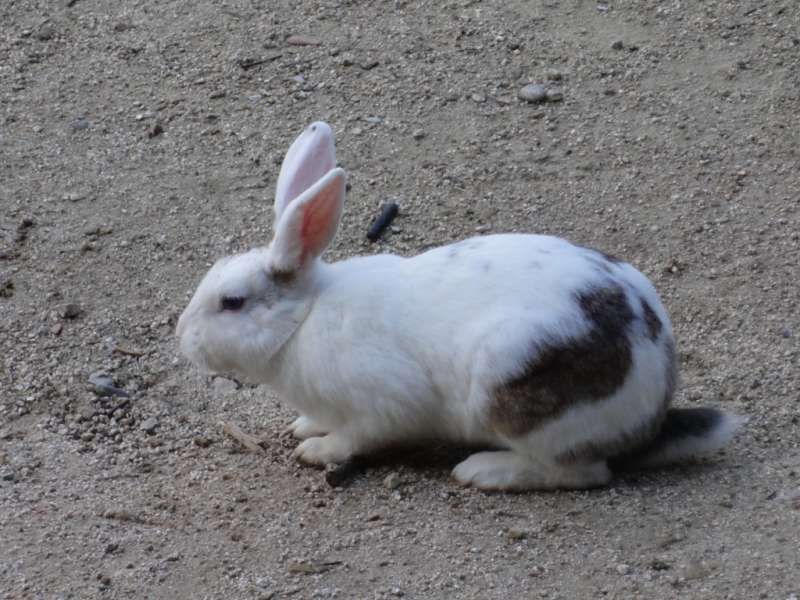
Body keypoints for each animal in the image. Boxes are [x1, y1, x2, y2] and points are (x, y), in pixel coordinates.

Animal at [177, 119, 744, 490]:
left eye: (232, 302)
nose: (182, 338)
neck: (303, 319)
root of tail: (651, 410)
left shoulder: (381, 407)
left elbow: (355, 437)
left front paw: (315, 449)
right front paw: (305, 427)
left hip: (515, 396)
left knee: (582, 472)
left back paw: (484, 471)